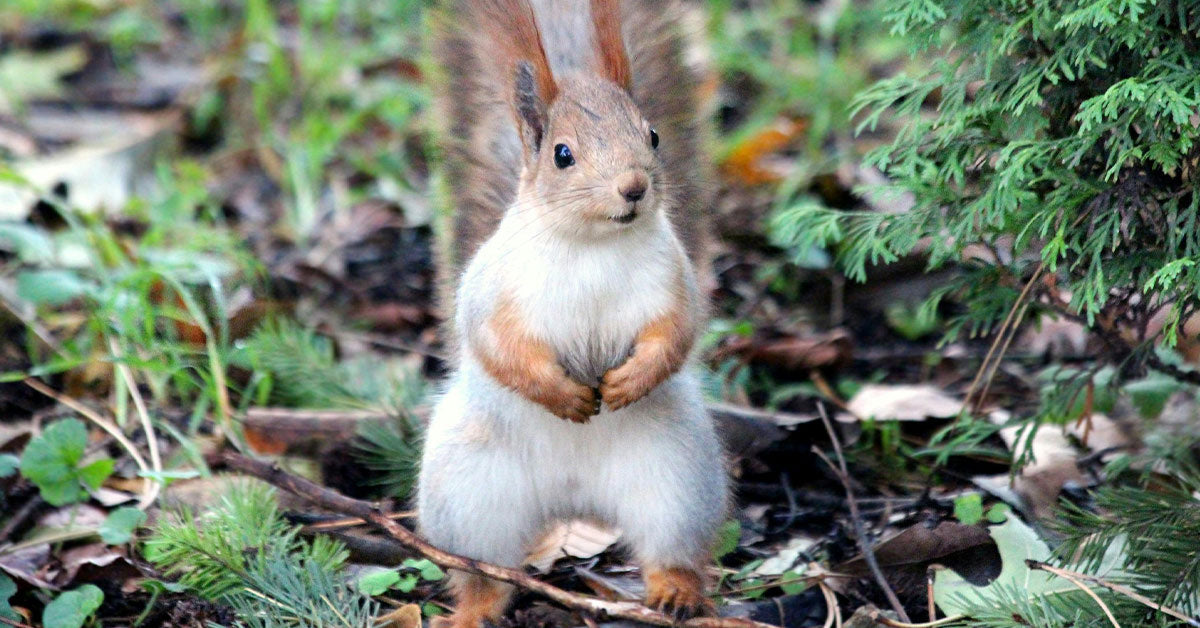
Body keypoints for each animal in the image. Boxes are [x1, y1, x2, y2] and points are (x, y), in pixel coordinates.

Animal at [418, 1, 728, 627]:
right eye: (563, 155)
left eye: (652, 135)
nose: (633, 187)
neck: (592, 245)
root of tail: (573, 497)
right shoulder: (494, 292)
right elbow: (498, 345)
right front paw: (563, 396)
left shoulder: (674, 283)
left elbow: (675, 335)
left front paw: (631, 381)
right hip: (467, 492)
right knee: (481, 570)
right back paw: (476, 608)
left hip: (677, 478)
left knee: (671, 547)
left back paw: (676, 591)